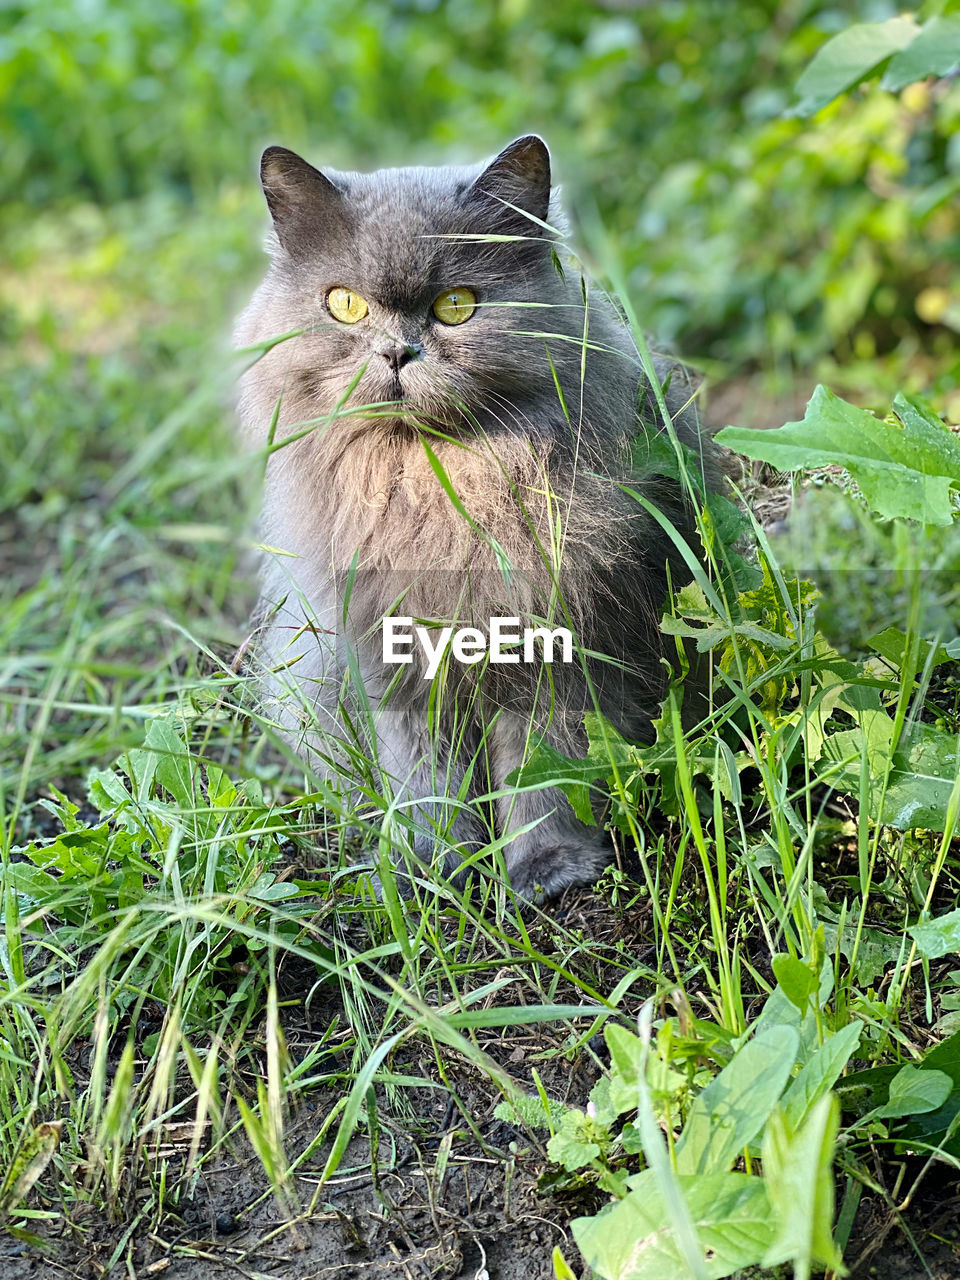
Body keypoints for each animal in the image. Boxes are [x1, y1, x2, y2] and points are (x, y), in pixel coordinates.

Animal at [232, 137, 716, 901]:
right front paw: (432, 873)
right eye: (346, 305)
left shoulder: (560, 645)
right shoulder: (389, 665)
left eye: (456, 306)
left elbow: (543, 769)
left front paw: (545, 869)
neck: (432, 488)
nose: (398, 353)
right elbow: (426, 782)